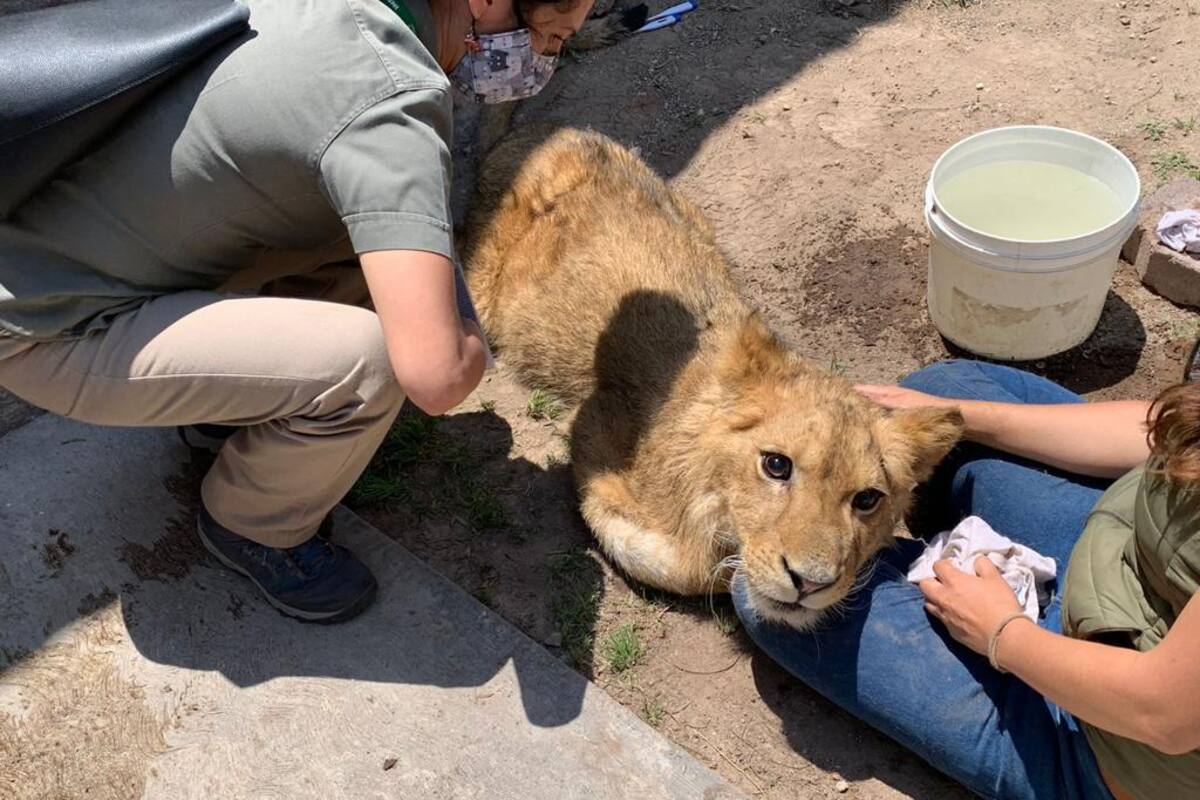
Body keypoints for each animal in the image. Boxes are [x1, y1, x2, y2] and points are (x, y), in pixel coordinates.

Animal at [462, 128, 963, 629]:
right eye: (776, 465)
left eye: (867, 499)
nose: (810, 582)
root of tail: (565, 135)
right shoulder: (594, 434)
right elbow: (677, 563)